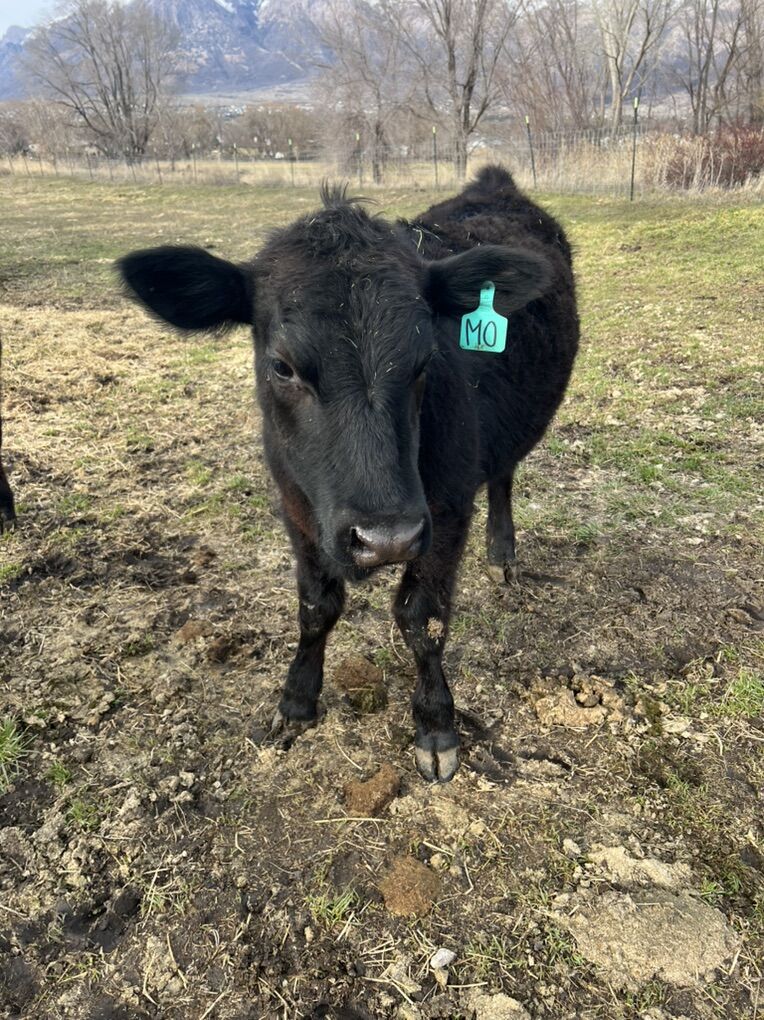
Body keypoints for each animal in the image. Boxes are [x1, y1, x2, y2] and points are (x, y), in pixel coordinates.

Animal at [118, 165, 579, 782]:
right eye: (282, 365)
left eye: (426, 360)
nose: (386, 539)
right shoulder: (297, 506)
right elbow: (316, 608)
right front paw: (295, 702)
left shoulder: (446, 510)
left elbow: (422, 619)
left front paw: (436, 724)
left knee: (503, 475)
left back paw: (502, 552)